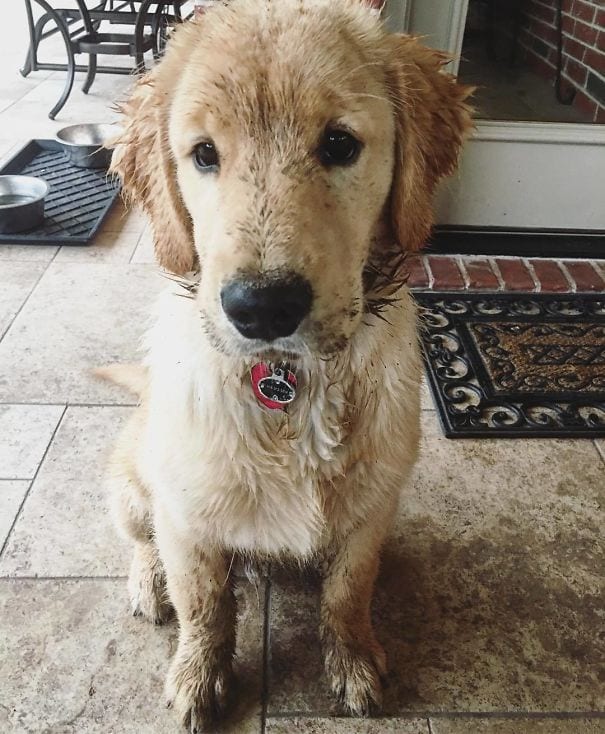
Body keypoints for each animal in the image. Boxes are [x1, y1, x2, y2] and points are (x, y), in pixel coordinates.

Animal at [107, 2, 472, 732]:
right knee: (142, 544)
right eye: (204, 154)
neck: (290, 387)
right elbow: (204, 607)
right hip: (131, 490)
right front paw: (198, 680)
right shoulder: (185, 517)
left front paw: (353, 662)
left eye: (338, 144)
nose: (261, 307)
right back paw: (147, 586)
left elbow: (347, 593)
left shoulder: (370, 511)